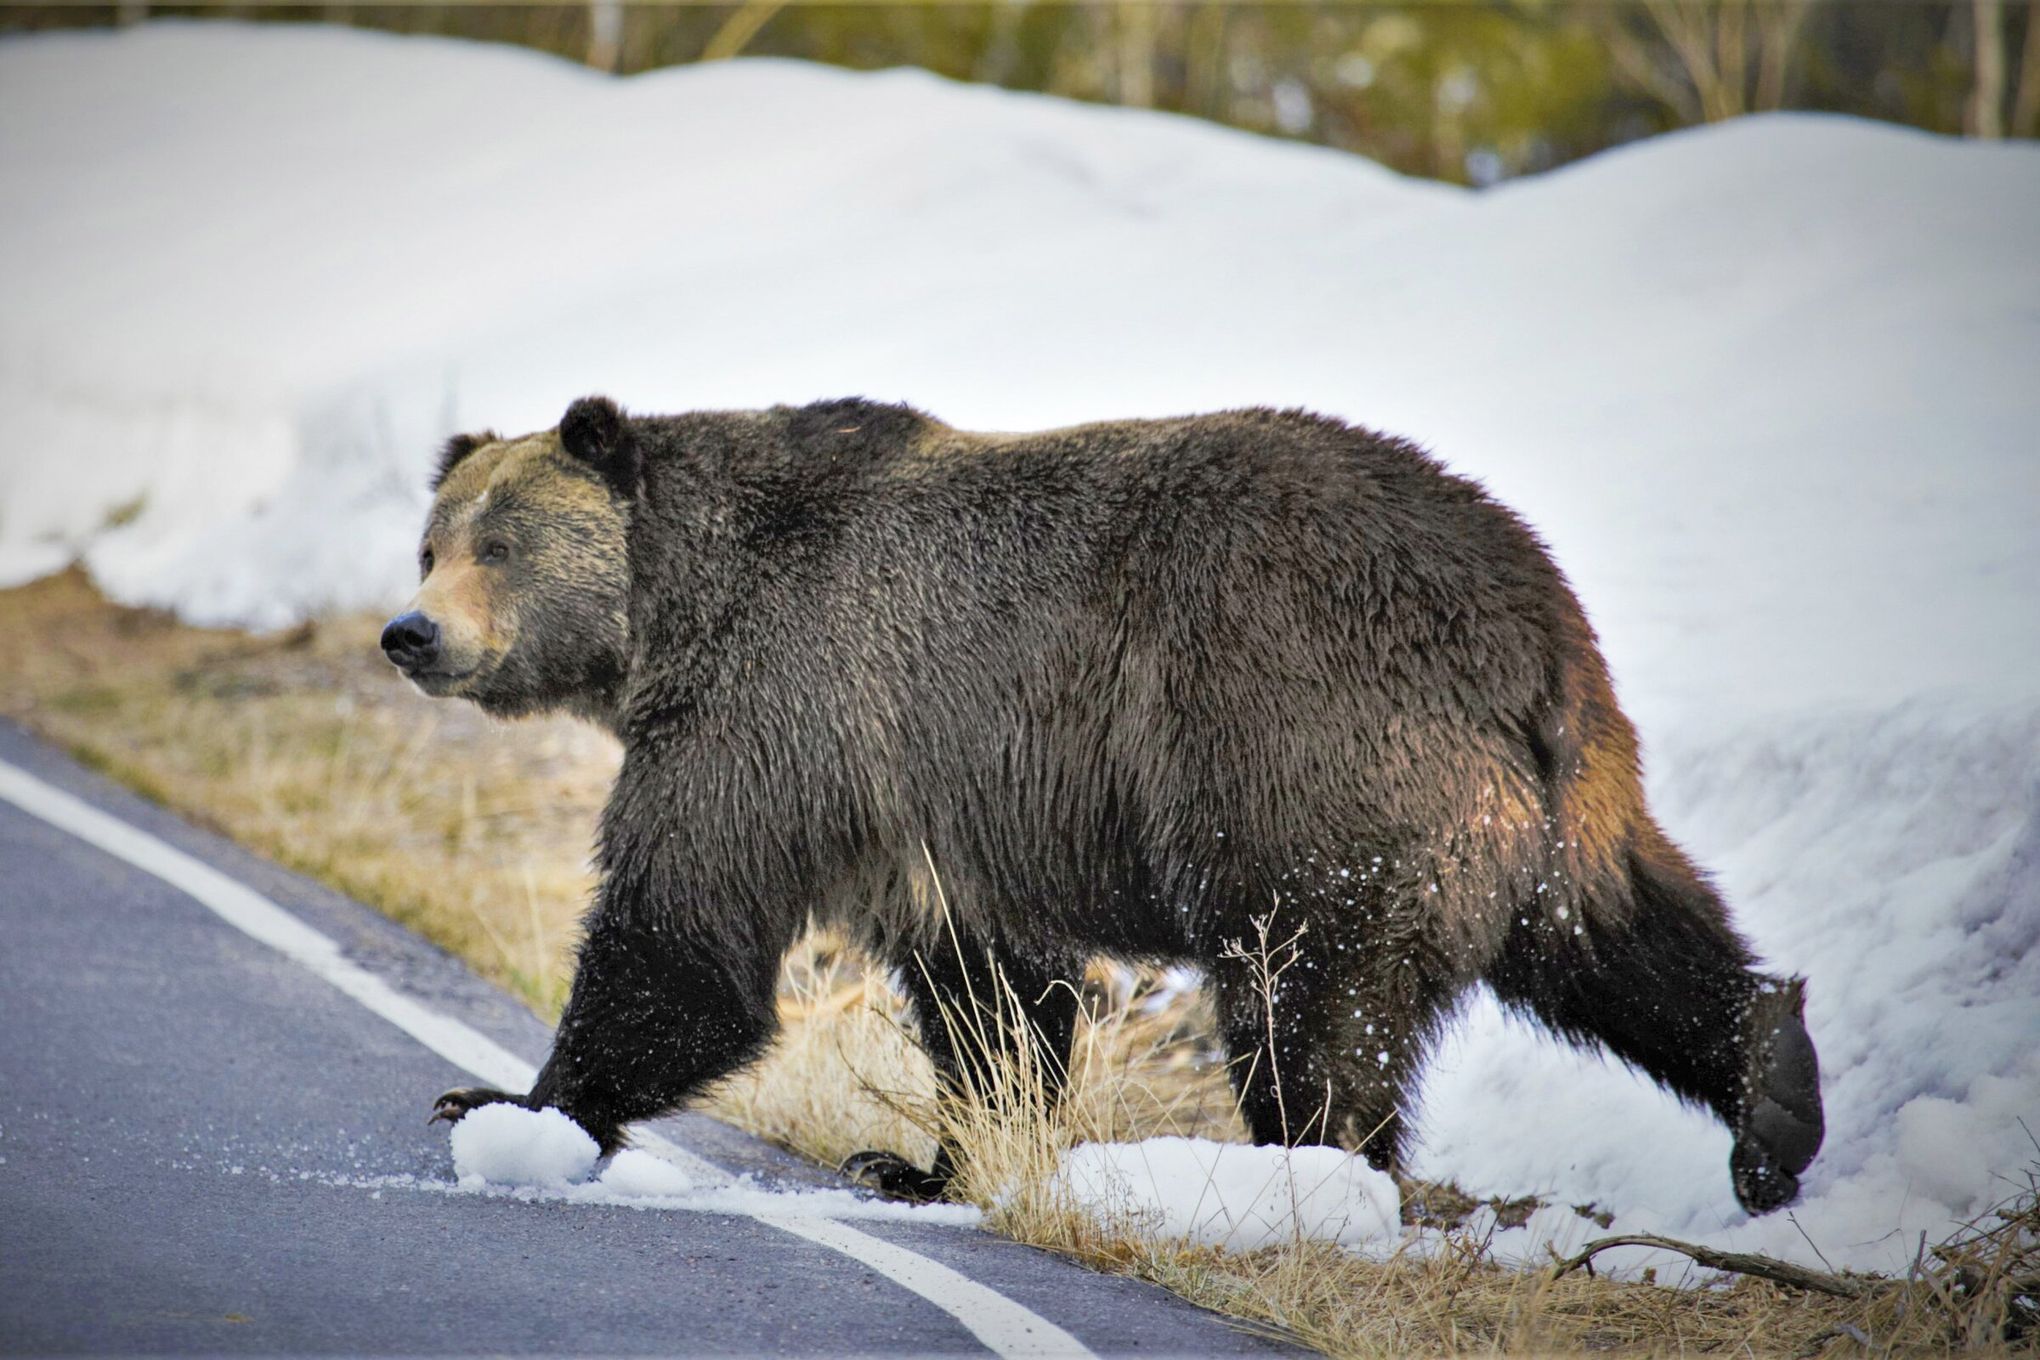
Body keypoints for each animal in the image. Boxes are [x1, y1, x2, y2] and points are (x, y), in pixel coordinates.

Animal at [385, 393, 1836, 1215]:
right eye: (431, 541)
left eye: (500, 544)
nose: (410, 632)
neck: (674, 617)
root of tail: (1530, 620)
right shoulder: (934, 808)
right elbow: (989, 996)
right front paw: (922, 1162)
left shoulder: (780, 712)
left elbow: (684, 932)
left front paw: (509, 1103)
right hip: (1561, 803)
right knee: (1626, 940)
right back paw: (1774, 1102)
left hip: (1301, 751)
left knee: (1306, 1002)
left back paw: (1309, 1178)